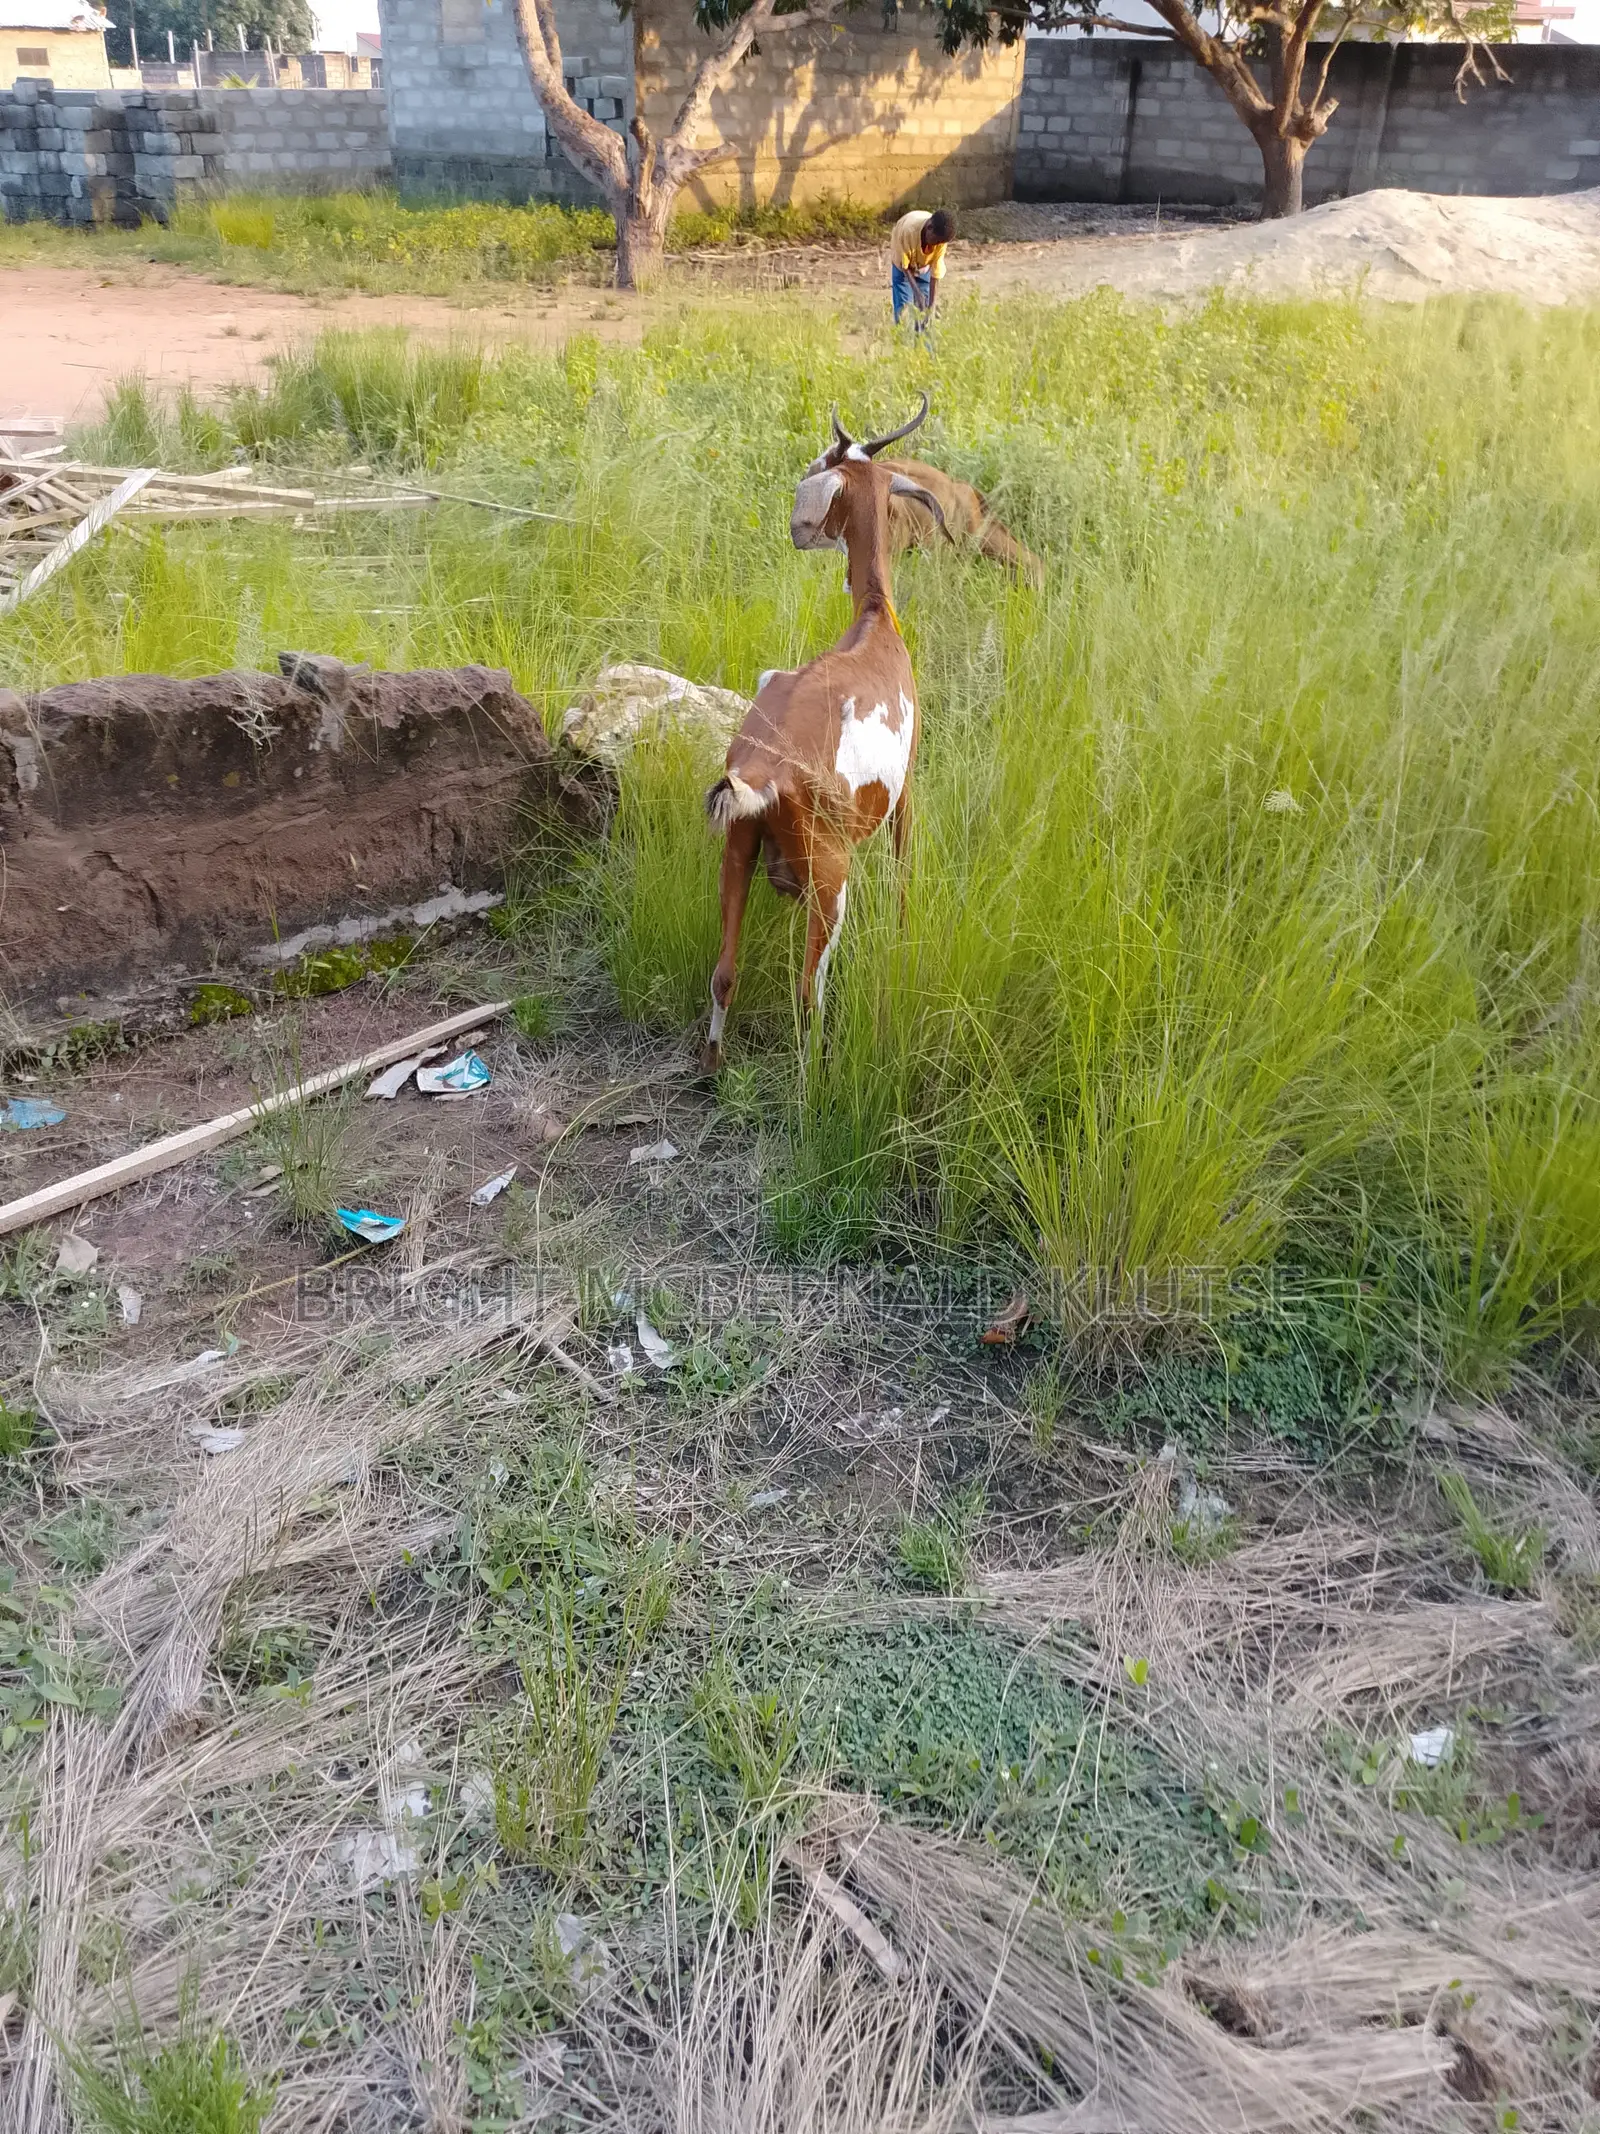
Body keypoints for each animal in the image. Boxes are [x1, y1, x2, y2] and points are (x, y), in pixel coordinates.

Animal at [700, 395, 946, 1075]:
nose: (799, 530)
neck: (875, 621)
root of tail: (761, 768)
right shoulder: (905, 794)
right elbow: (904, 879)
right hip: (832, 881)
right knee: (808, 997)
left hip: (739, 851)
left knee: (723, 974)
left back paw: (711, 1070)